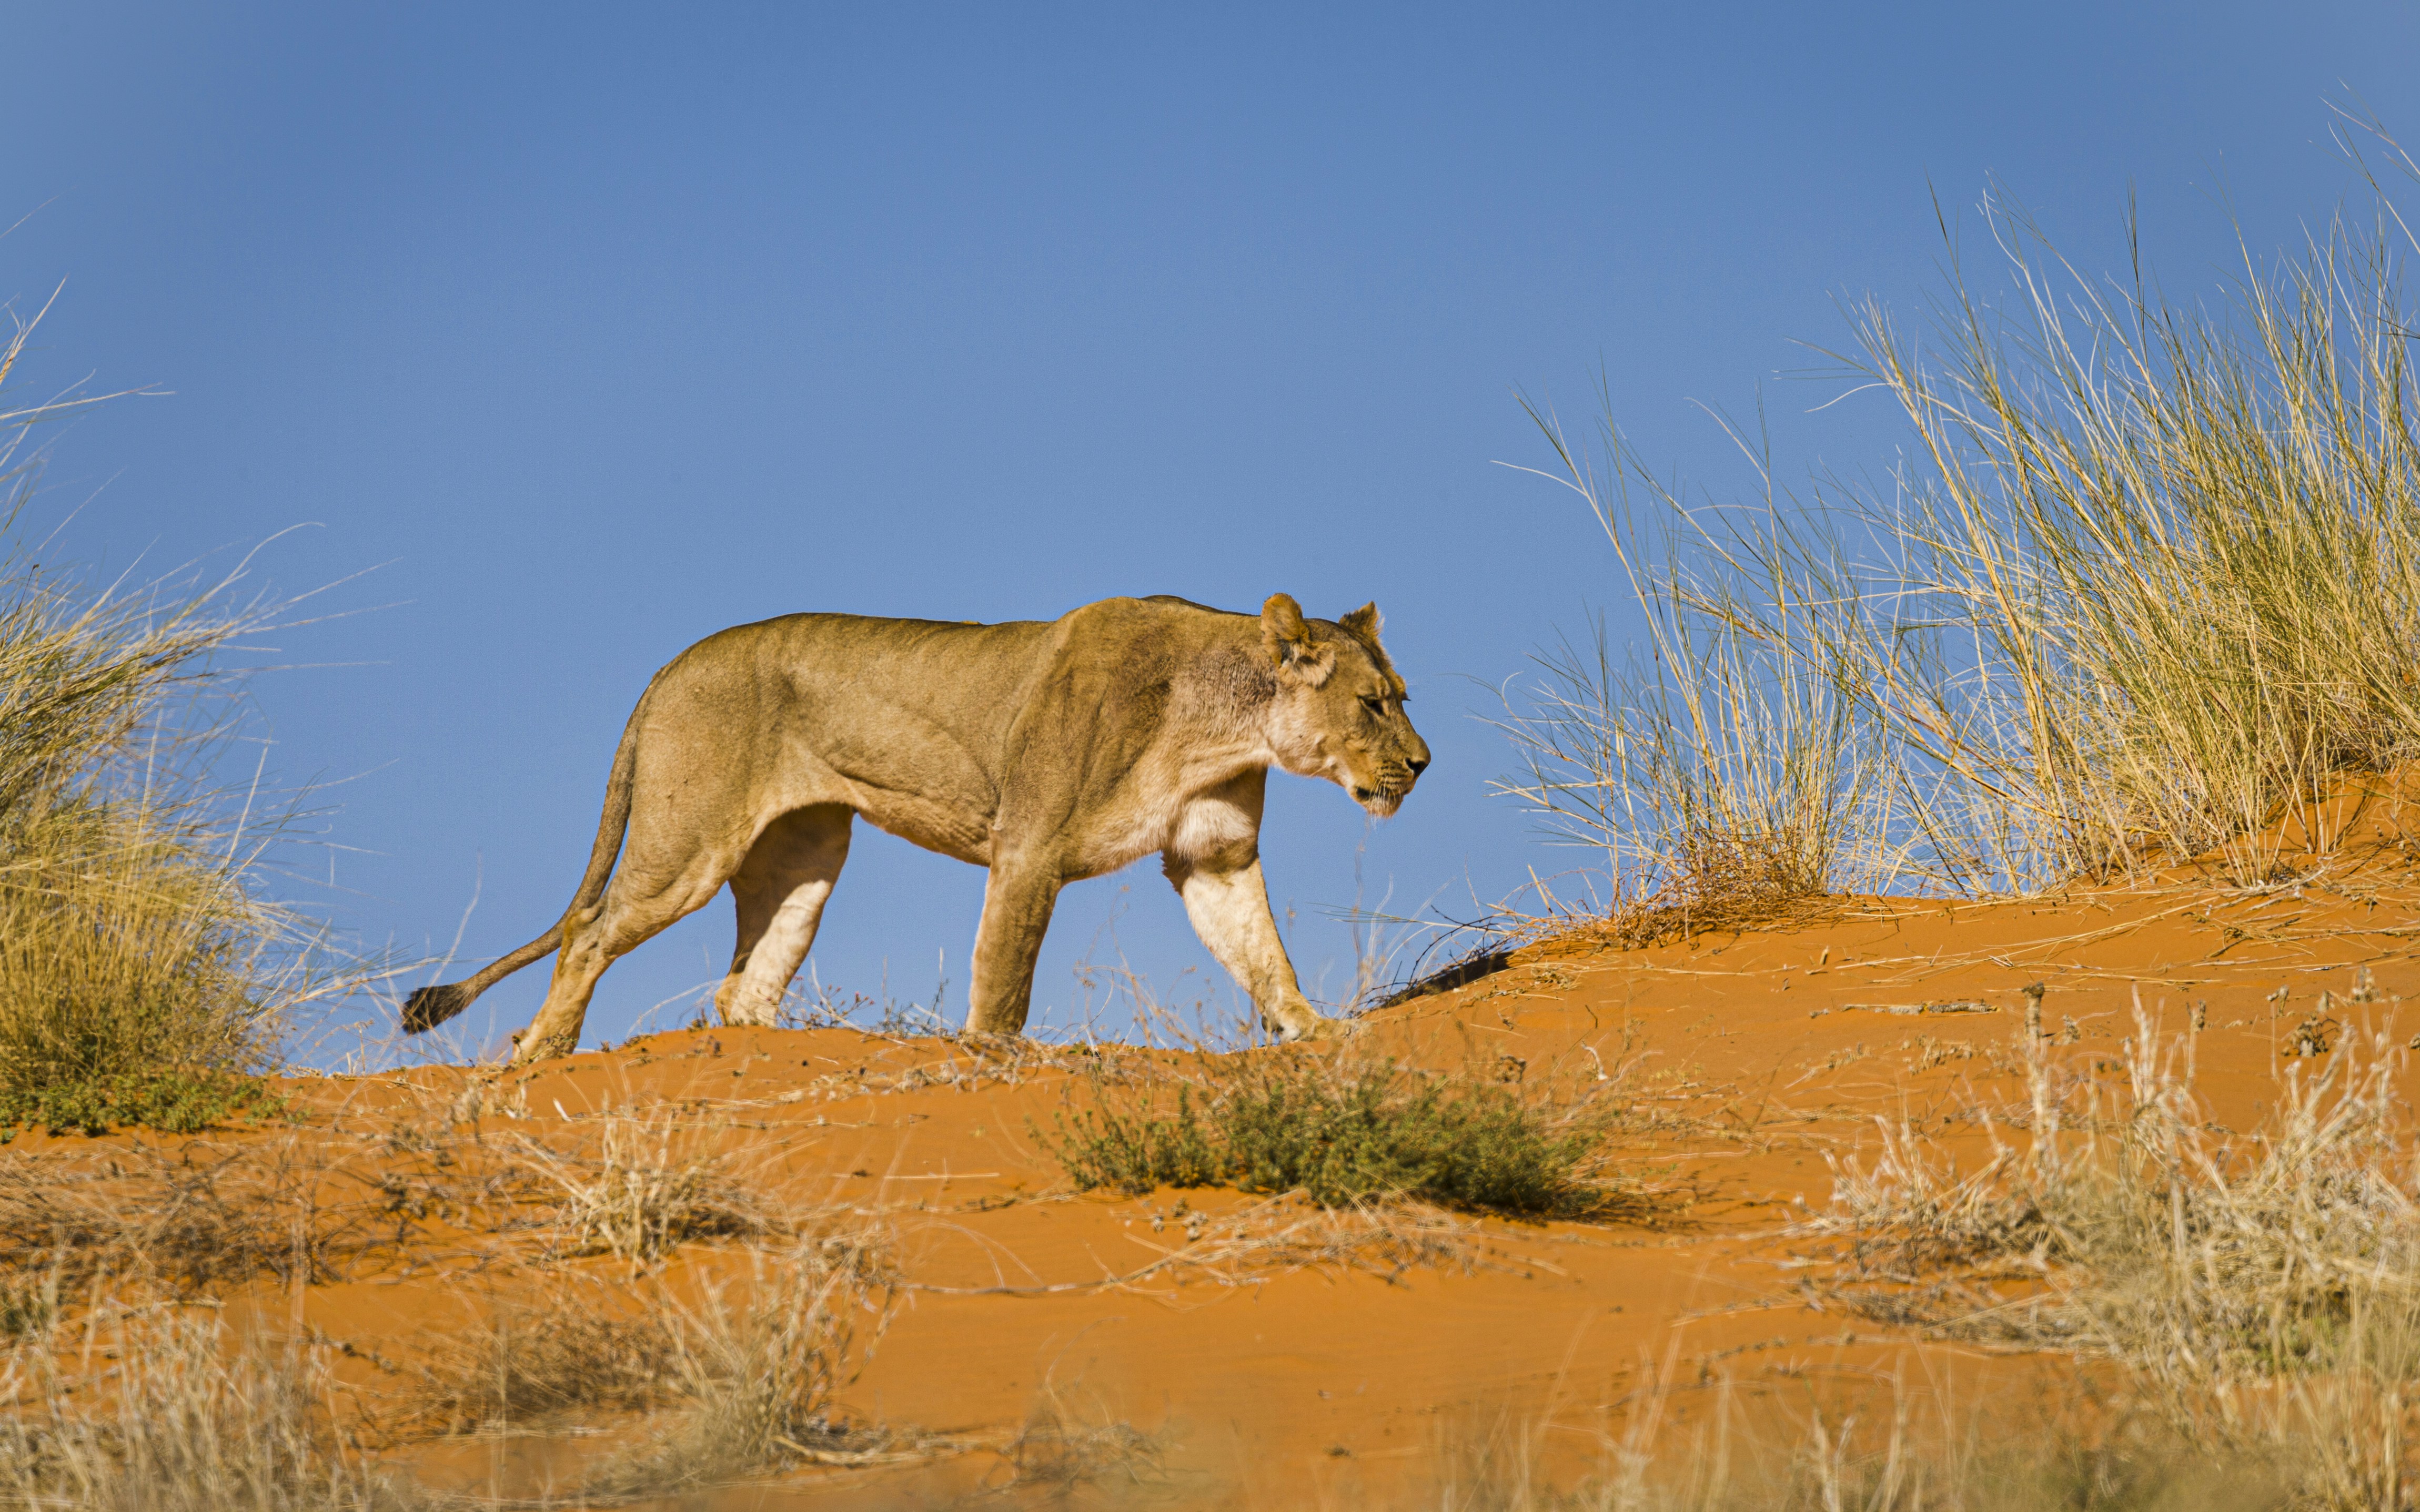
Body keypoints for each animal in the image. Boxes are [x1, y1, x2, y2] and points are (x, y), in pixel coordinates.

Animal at [401, 592, 1428, 1064]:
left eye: (1402, 698)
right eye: (1374, 704)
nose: (1423, 764)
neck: (1220, 724)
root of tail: (672, 663)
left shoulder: (1213, 856)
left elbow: (1264, 955)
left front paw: (1319, 1032)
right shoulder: (1029, 850)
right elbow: (1003, 982)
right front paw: (991, 1061)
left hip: (809, 854)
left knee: (742, 987)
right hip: (687, 845)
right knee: (589, 931)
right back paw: (541, 1053)